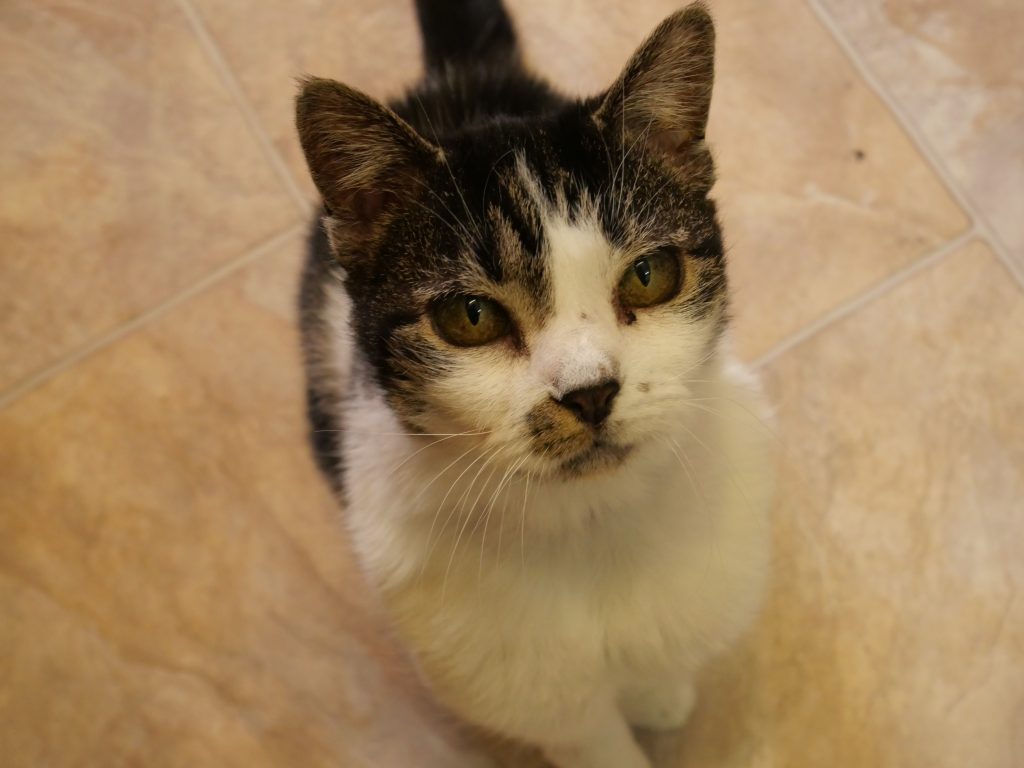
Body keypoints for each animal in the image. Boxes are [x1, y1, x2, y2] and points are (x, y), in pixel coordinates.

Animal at [292, 3, 770, 765]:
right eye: (471, 316)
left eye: (650, 274)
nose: (589, 391)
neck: (590, 523)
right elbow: (588, 734)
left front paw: (660, 692)